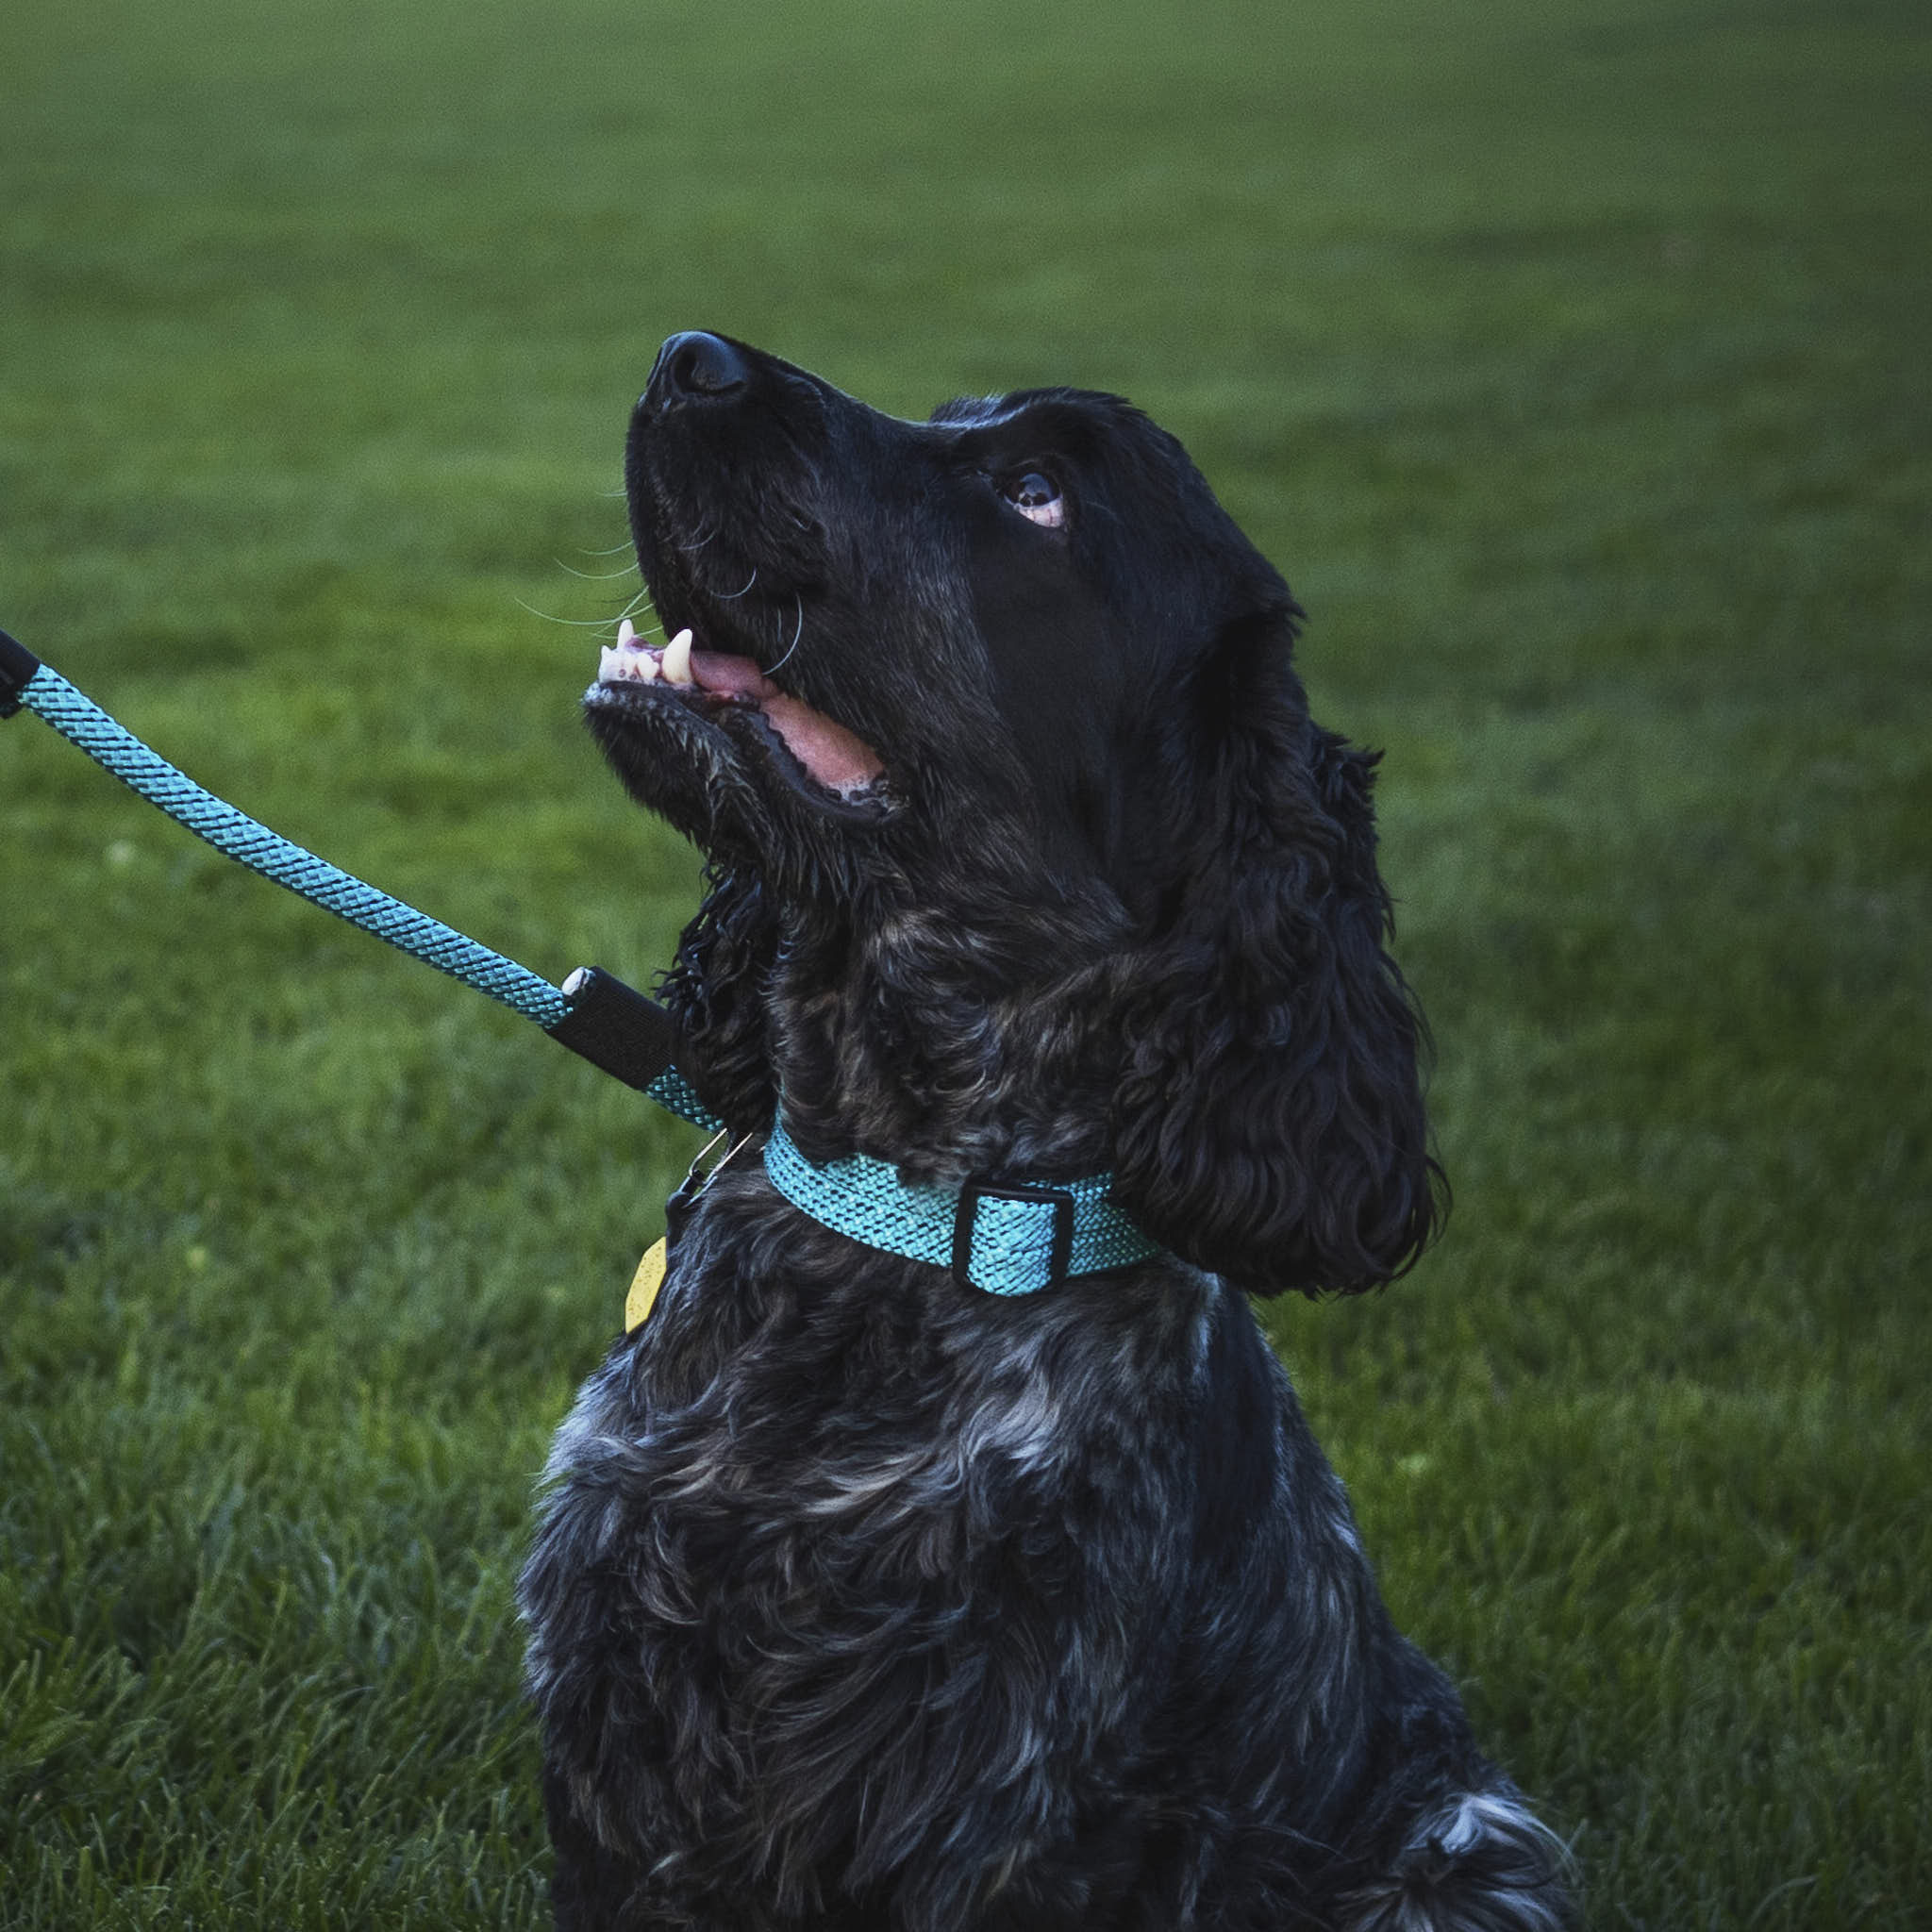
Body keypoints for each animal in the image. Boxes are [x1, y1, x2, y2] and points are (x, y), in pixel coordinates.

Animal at [517, 336, 1568, 1932]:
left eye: (1035, 493)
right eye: (959, 422)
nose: (686, 358)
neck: (904, 1200)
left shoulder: (990, 1807)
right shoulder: (620, 1755)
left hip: (1469, 1856)